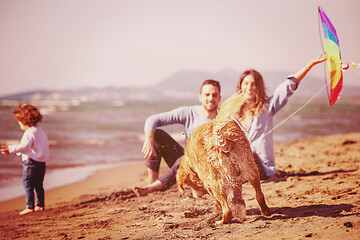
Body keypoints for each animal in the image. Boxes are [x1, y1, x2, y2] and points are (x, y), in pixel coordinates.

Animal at [176, 92, 272, 225]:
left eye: (187, 184)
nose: (196, 196)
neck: (190, 161)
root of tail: (216, 129)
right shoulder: (236, 175)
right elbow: (237, 193)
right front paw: (239, 206)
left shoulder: (207, 182)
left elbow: (215, 201)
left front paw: (216, 211)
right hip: (250, 167)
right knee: (259, 194)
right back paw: (265, 210)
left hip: (216, 180)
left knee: (227, 210)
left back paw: (221, 220)